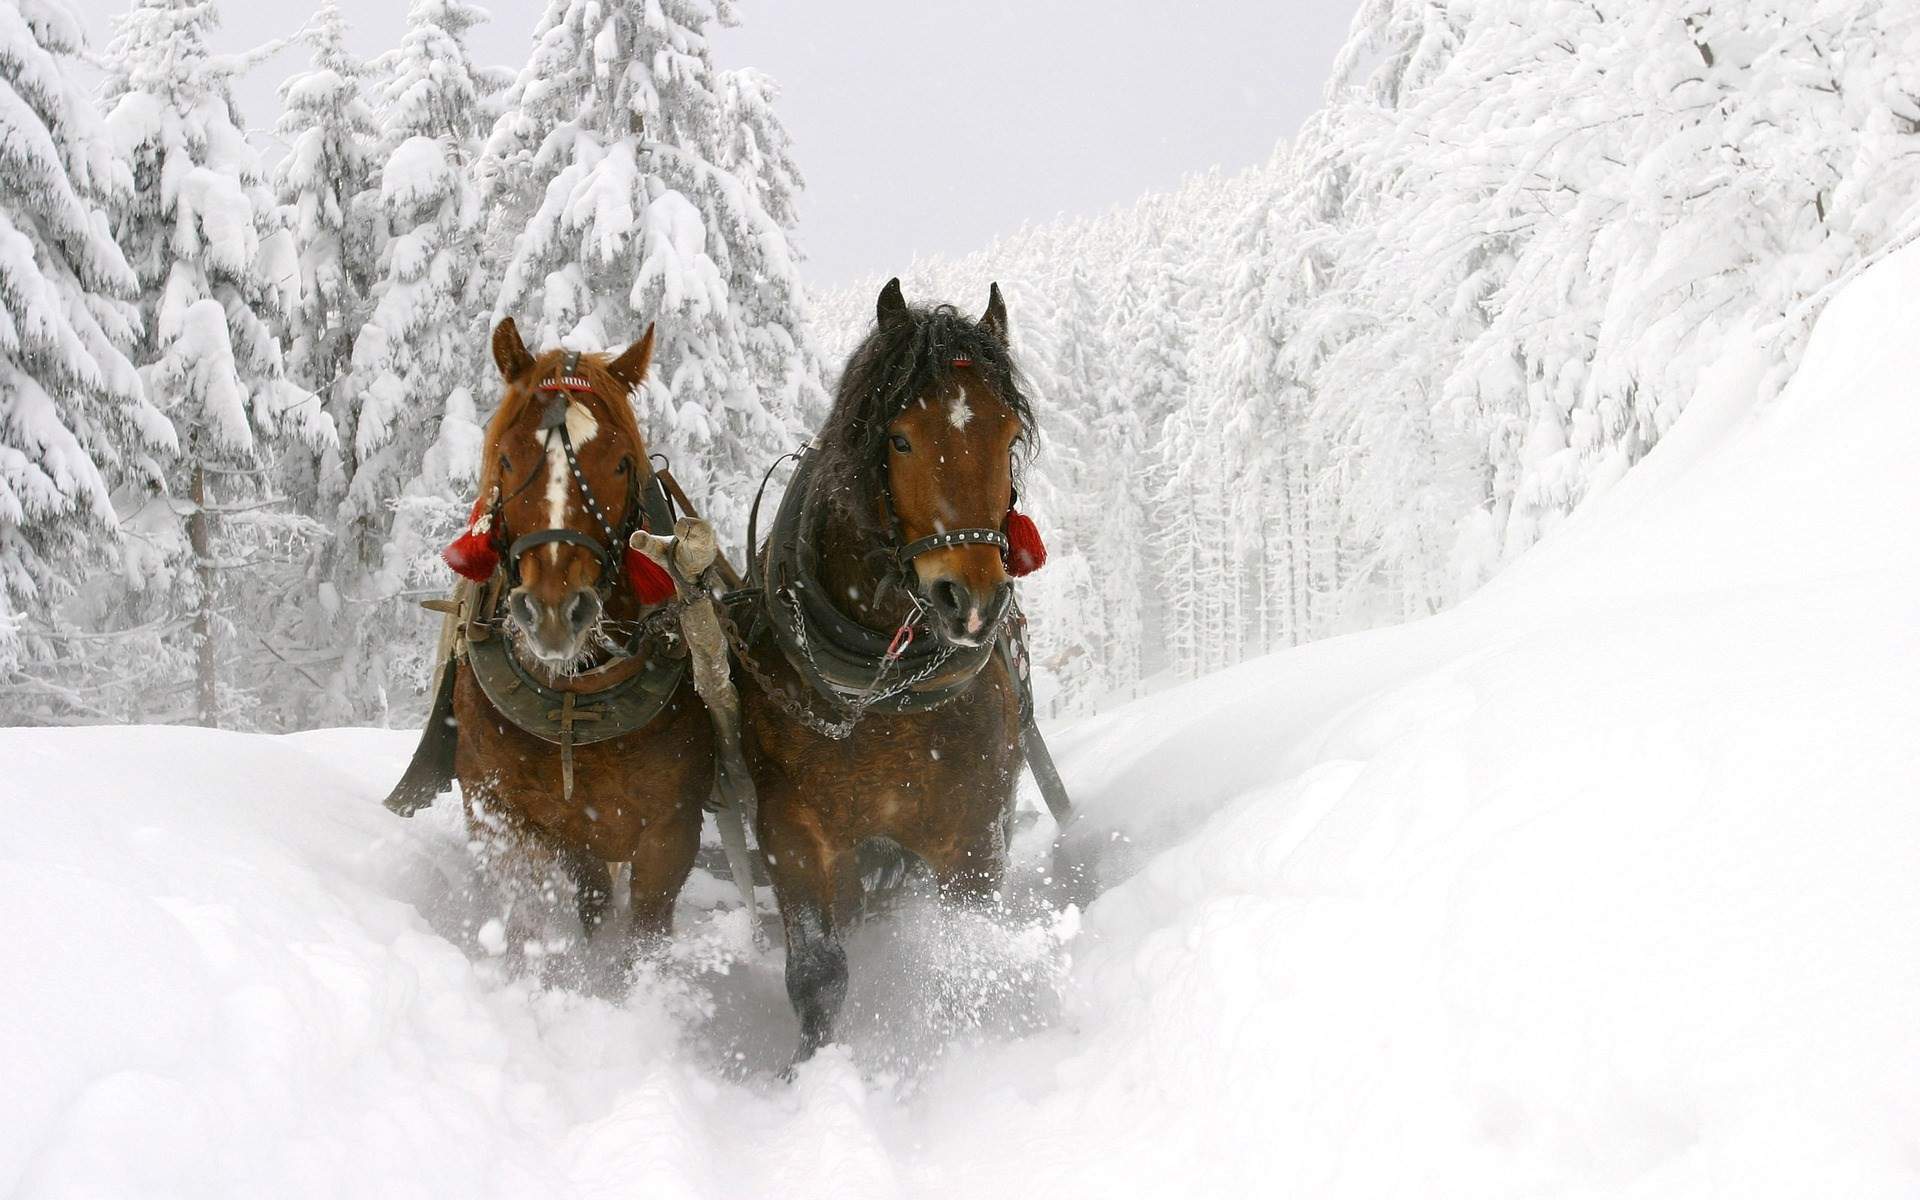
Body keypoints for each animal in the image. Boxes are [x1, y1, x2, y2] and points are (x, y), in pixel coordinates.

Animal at [386, 318, 716, 957]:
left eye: (621, 463)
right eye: (508, 458)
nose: (556, 611)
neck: (574, 701)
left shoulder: (670, 832)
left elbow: (642, 939)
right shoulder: (504, 816)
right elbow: (528, 923)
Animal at [734, 278, 1048, 1063]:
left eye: (1008, 436)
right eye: (900, 437)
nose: (972, 599)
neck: (882, 693)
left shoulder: (974, 833)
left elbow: (965, 958)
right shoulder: (791, 828)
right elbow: (818, 974)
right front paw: (808, 1074)